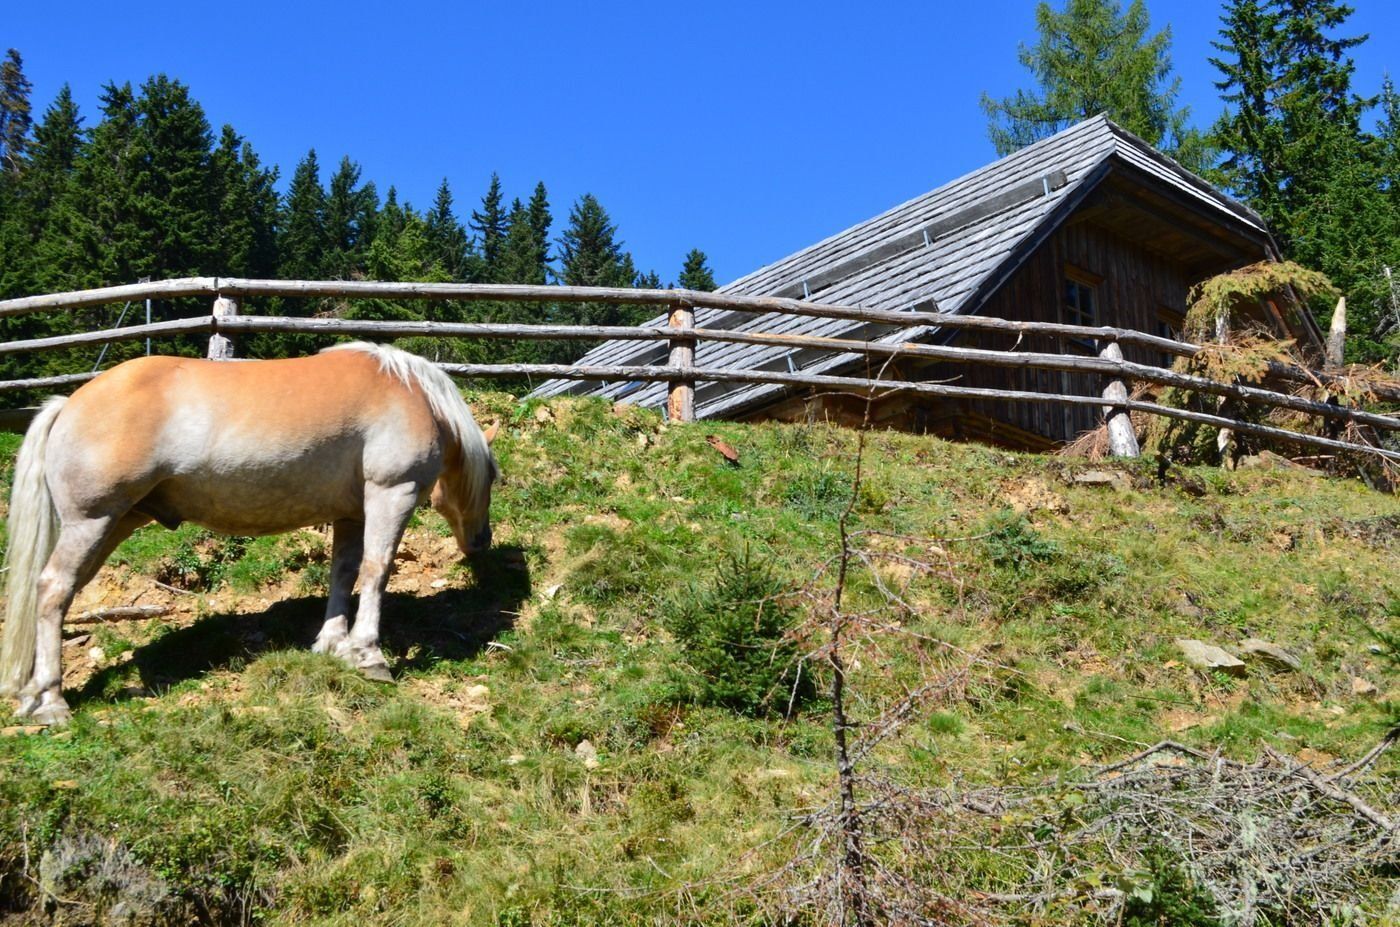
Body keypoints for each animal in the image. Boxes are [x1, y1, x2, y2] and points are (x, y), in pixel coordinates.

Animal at [0, 342, 498, 725]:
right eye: (493, 477)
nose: (482, 542)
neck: (408, 394)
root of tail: (68, 403)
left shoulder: (351, 513)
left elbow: (343, 573)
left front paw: (332, 645)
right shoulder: (391, 493)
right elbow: (377, 571)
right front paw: (368, 654)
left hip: (111, 526)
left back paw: (32, 695)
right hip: (92, 522)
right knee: (52, 590)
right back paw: (52, 701)